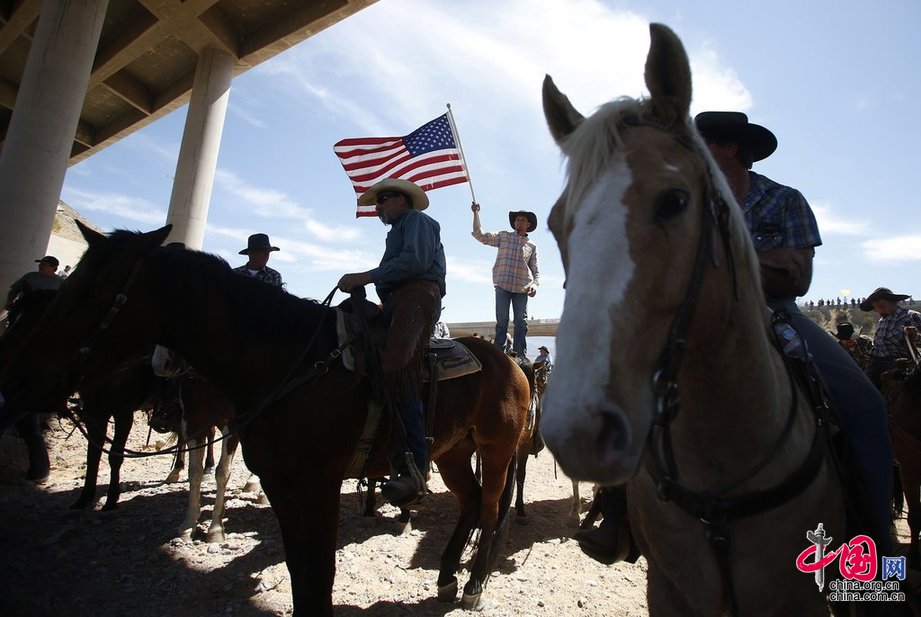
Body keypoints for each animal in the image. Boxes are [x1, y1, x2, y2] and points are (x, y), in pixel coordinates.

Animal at [0, 224, 528, 612]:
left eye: (90, 291)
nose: (18, 378)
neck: (290, 360)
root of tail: (511, 362)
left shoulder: (318, 483)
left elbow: (319, 571)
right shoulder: (279, 481)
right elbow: (298, 569)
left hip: (496, 450)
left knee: (489, 508)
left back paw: (473, 585)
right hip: (454, 451)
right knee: (470, 503)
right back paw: (446, 576)